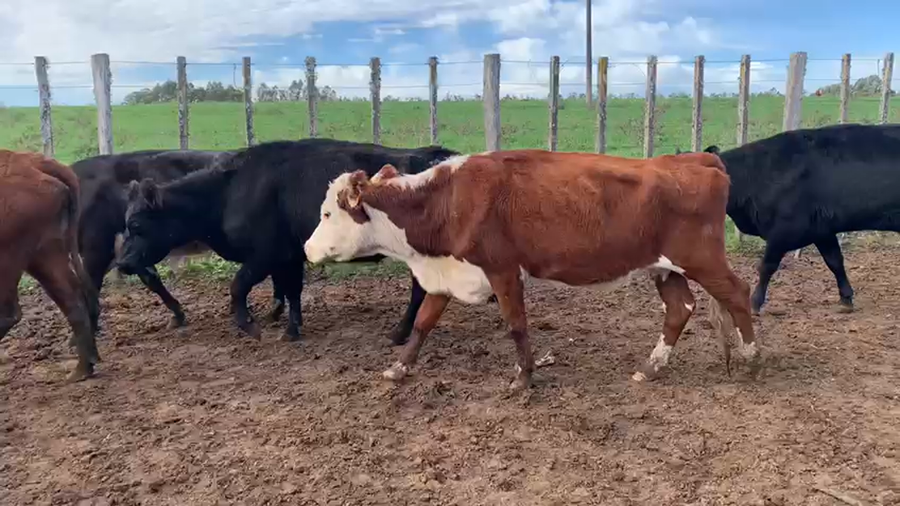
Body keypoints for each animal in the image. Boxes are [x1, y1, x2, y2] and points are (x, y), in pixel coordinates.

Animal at [0, 150, 100, 382]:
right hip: (44, 254)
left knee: (8, 313)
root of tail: (30, 162)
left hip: (11, 259)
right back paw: (82, 369)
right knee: (73, 298)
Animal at [116, 138, 460, 344]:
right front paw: (291, 328)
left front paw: (250, 325)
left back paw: (399, 332)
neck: (229, 191)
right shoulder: (290, 255)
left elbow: (238, 286)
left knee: (420, 290)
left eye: (135, 224)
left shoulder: (265, 254)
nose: (122, 262)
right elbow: (292, 290)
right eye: (126, 222)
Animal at [303, 149, 763, 391]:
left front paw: (523, 378)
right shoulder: (446, 273)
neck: (447, 201)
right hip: (664, 268)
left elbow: (516, 324)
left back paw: (753, 358)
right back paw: (650, 368)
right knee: (679, 308)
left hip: (702, 259)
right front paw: (399, 367)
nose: (307, 249)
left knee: (738, 294)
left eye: (326, 213)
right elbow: (423, 322)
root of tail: (694, 159)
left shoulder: (504, 270)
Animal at [677, 123, 900, 315]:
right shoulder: (822, 230)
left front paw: (755, 303)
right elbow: (835, 261)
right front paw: (845, 298)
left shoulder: (785, 229)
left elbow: (766, 266)